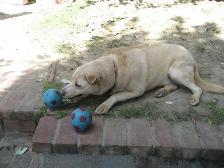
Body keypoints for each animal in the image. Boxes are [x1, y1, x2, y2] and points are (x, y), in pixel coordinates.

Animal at [60, 43, 224, 114]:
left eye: (79, 85)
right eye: (72, 80)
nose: (61, 93)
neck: (115, 68)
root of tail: (193, 60)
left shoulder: (136, 91)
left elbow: (115, 95)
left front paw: (105, 104)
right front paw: (74, 99)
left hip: (175, 71)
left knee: (197, 88)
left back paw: (194, 97)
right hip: (170, 75)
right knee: (174, 85)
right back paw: (162, 91)